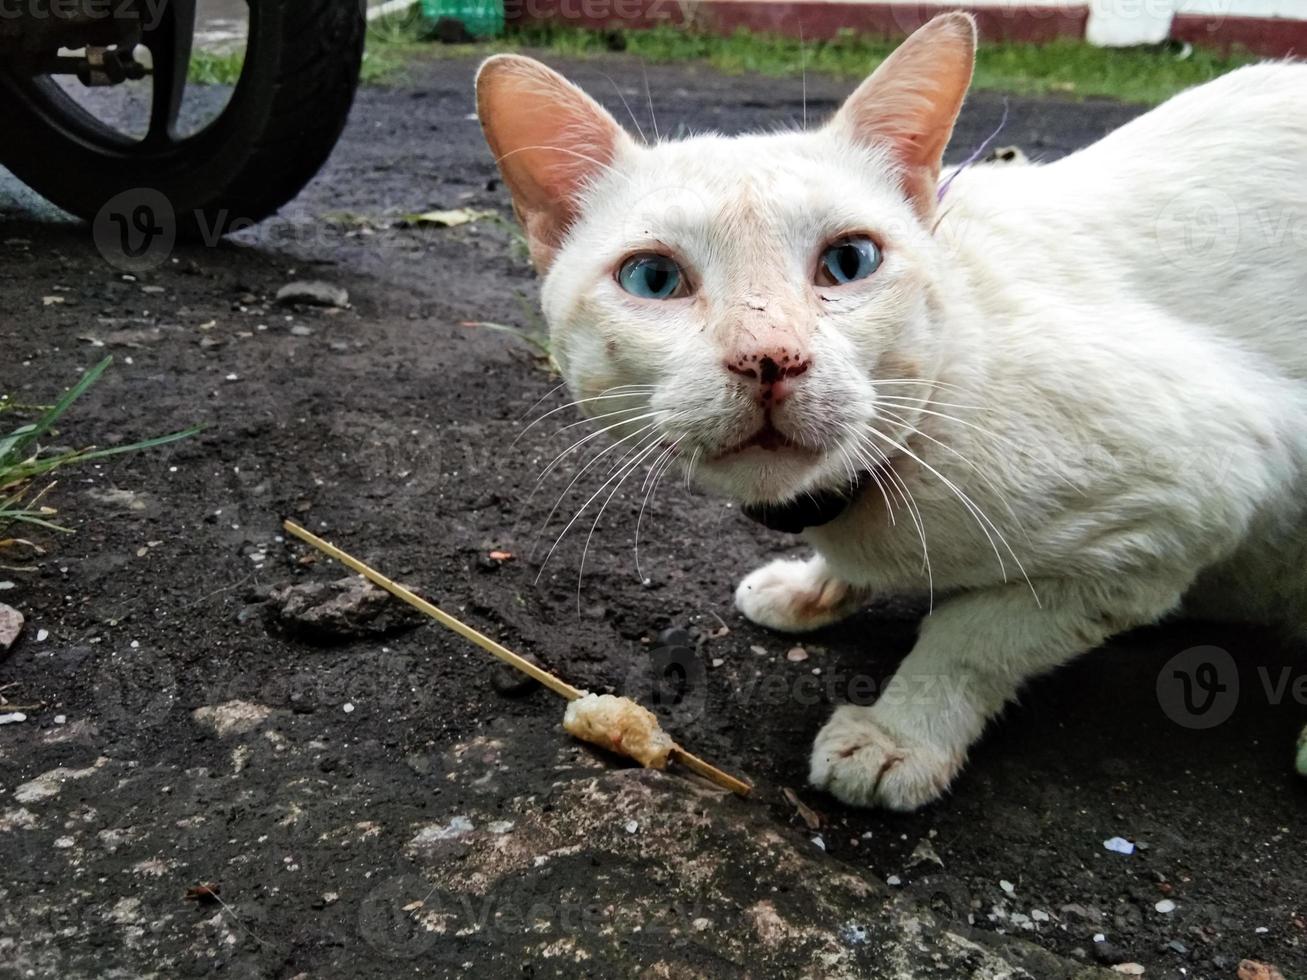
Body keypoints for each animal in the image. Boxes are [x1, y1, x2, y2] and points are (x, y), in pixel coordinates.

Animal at [475, 17, 1307, 815]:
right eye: (653, 278)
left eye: (849, 263)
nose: (768, 357)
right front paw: (812, 588)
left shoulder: (1197, 498)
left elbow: (974, 636)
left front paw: (898, 735)